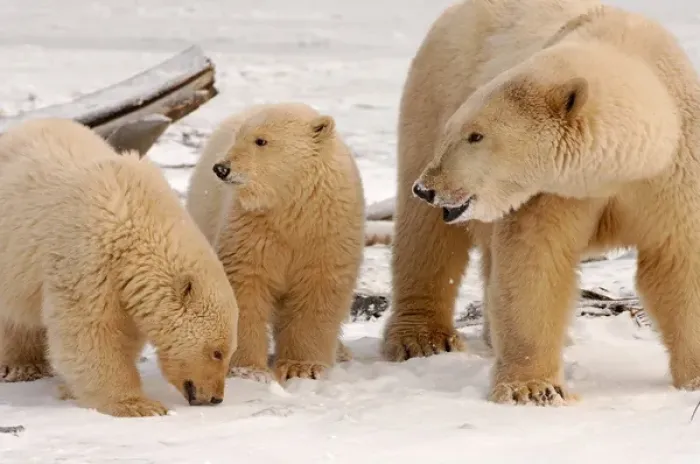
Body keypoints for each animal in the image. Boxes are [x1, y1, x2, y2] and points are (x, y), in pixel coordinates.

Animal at [0, 118, 239, 417]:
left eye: (229, 352)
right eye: (217, 352)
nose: (216, 397)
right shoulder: (88, 257)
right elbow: (91, 329)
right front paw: (139, 405)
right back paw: (20, 366)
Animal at [185, 102, 365, 382]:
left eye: (261, 140)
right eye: (239, 137)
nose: (222, 168)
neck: (291, 208)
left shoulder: (326, 233)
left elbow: (318, 291)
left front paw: (302, 367)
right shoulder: (252, 230)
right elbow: (245, 287)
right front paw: (248, 370)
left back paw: (342, 351)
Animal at [411, 4, 699, 406]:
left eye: (476, 136)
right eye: (457, 131)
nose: (427, 188)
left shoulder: (673, 175)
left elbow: (679, 264)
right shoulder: (552, 192)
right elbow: (536, 260)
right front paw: (534, 389)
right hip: (436, 83)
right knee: (426, 237)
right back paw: (421, 339)